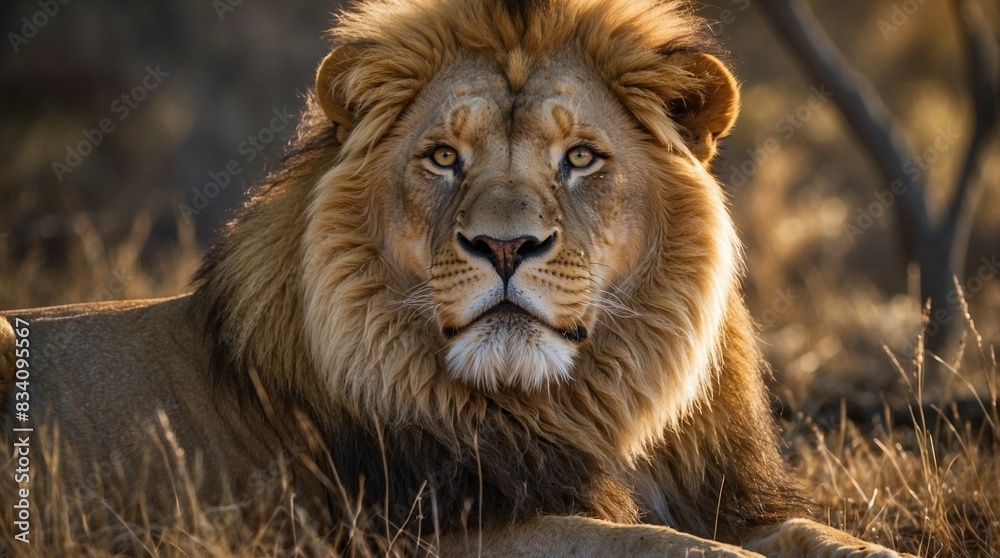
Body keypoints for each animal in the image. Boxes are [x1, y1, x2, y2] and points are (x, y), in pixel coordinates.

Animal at [1, 0, 911, 556]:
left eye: (579, 158)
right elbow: (663, 547)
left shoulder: (716, 496)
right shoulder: (440, 532)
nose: (505, 247)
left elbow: (814, 536)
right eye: (443, 157)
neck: (592, 408)